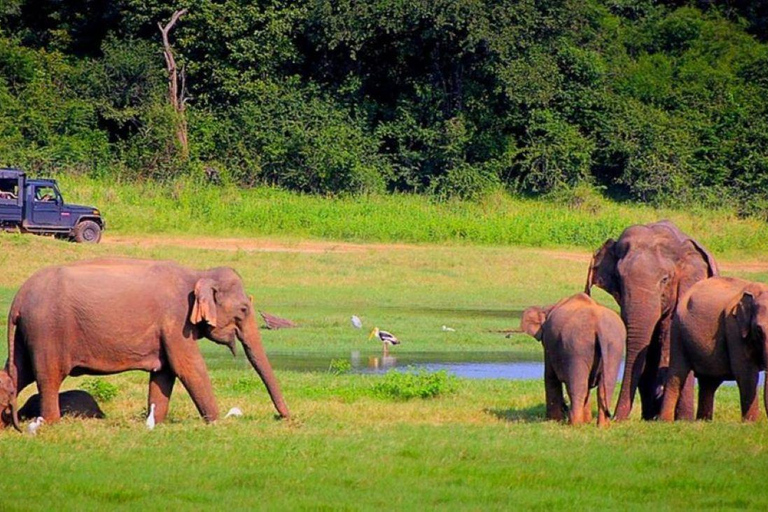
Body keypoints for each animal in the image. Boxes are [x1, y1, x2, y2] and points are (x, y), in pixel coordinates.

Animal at [1, 258, 290, 430]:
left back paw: (5, 423)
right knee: (48, 375)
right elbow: (188, 366)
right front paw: (216, 422)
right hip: (47, 331)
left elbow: (164, 373)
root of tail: (18, 299)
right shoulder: (176, 321)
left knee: (17, 373)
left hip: (28, 334)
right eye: (243, 309)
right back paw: (51, 423)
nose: (284, 417)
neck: (198, 273)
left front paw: (156, 423)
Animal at [520, 292, 628, 424]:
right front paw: (586, 422)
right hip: (614, 345)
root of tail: (599, 326)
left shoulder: (549, 343)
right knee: (605, 386)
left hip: (576, 346)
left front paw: (554, 420)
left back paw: (574, 424)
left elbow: (550, 376)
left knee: (578, 385)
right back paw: (602, 425)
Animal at [584, 220, 716, 420]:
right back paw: (651, 415)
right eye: (619, 278)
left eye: (665, 279)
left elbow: (669, 339)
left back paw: (682, 418)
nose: (612, 416)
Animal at [660, 278, 768, 422]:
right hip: (677, 331)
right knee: (677, 374)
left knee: (709, 382)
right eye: (758, 330)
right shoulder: (733, 328)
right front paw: (751, 423)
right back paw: (665, 421)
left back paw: (703, 421)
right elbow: (746, 372)